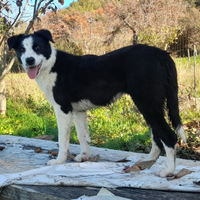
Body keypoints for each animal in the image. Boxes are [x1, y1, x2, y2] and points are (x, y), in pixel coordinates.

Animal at [7, 29, 186, 177]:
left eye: (37, 47)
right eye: (21, 50)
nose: (29, 60)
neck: (51, 65)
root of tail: (163, 55)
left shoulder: (62, 109)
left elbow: (62, 140)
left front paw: (59, 161)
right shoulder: (78, 111)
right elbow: (83, 136)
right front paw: (84, 157)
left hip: (147, 103)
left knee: (168, 136)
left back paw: (169, 171)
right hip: (150, 105)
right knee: (157, 136)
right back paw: (146, 162)